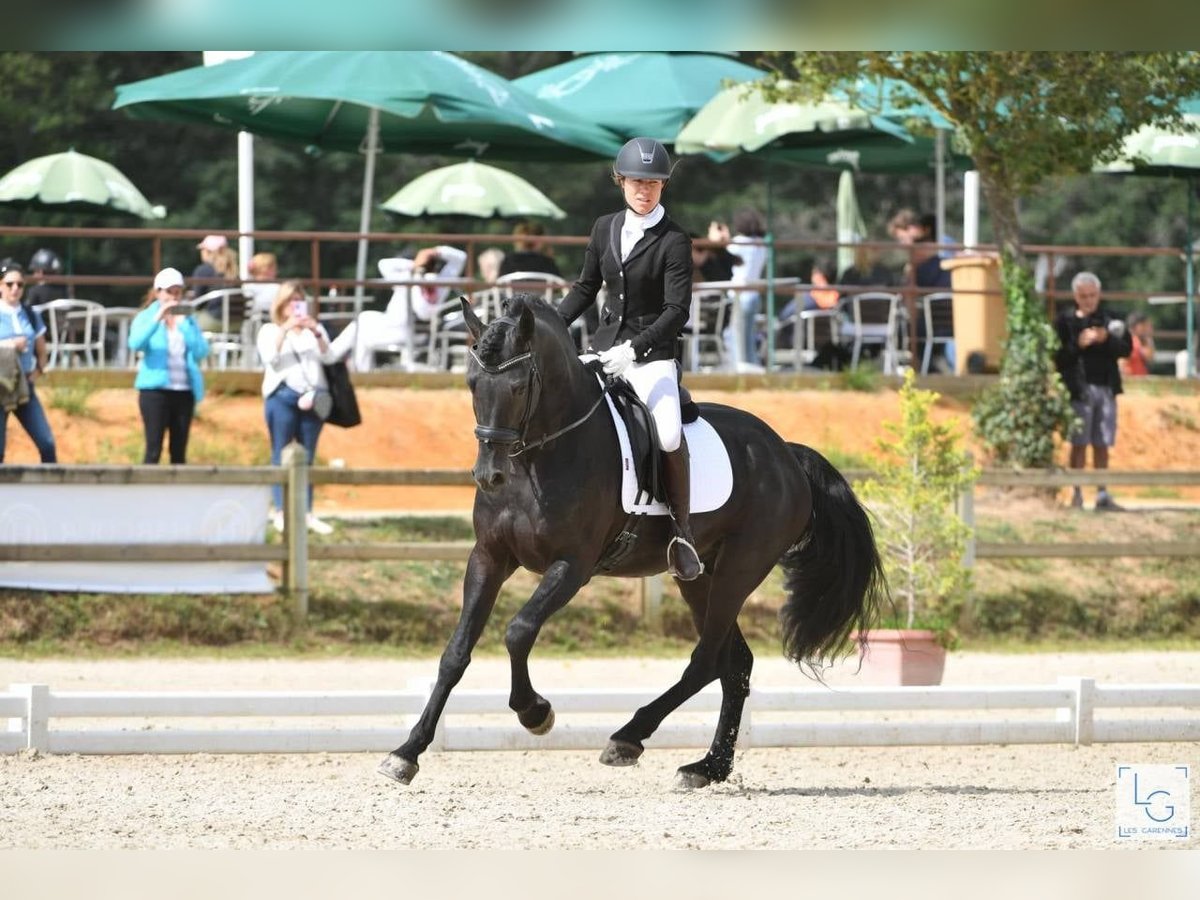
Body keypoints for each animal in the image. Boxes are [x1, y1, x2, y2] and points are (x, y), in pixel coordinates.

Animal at [379, 296, 888, 787]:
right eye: (471, 385)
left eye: (520, 387)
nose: (490, 476)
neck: (540, 457)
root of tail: (786, 453)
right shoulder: (488, 557)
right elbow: (455, 652)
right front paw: (406, 753)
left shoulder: (574, 565)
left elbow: (518, 630)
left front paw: (535, 713)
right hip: (698, 577)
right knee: (734, 664)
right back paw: (707, 767)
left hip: (739, 570)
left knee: (707, 660)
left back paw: (628, 738)